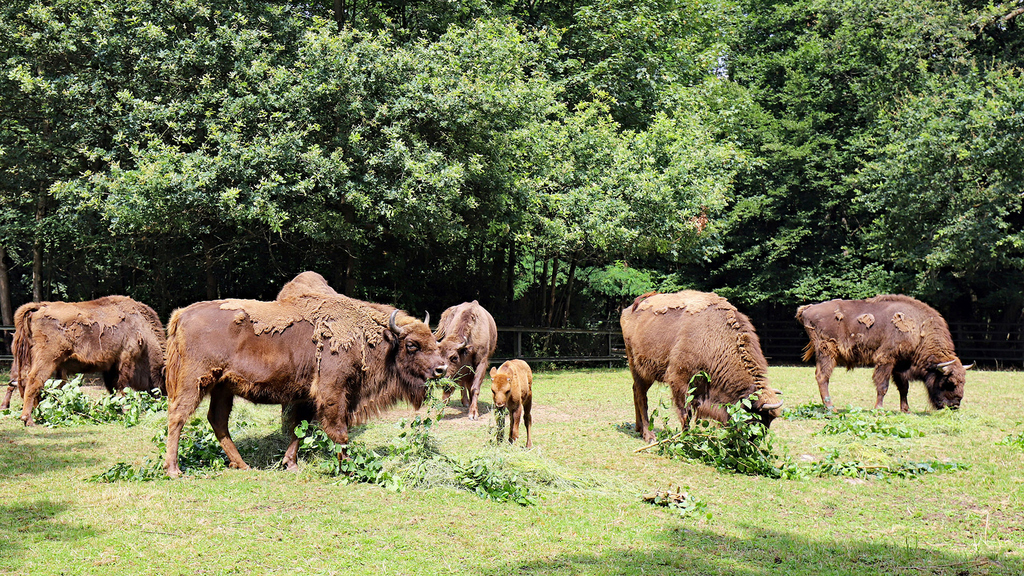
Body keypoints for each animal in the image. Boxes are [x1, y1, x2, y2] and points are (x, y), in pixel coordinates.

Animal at [162, 270, 444, 477]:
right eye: (412, 345)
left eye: (433, 339)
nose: (441, 368)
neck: (373, 337)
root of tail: (181, 315)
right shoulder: (332, 390)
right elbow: (338, 430)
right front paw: (349, 468)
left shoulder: (306, 396)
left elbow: (300, 429)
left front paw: (291, 464)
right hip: (195, 382)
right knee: (178, 416)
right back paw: (174, 470)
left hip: (223, 387)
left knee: (217, 420)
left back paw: (242, 464)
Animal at [614, 289, 782, 440]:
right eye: (754, 416)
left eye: (769, 420)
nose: (754, 441)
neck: (716, 338)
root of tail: (630, 309)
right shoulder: (680, 382)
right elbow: (685, 414)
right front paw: (686, 439)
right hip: (637, 368)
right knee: (642, 397)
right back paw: (649, 436)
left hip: (648, 373)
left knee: (636, 391)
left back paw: (639, 429)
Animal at [794, 293, 970, 409]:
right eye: (949, 382)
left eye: (963, 382)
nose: (954, 405)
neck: (920, 327)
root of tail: (807, 309)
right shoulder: (886, 359)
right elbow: (883, 385)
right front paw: (879, 409)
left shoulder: (900, 365)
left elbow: (903, 388)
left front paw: (905, 410)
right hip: (827, 352)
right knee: (823, 377)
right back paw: (832, 409)